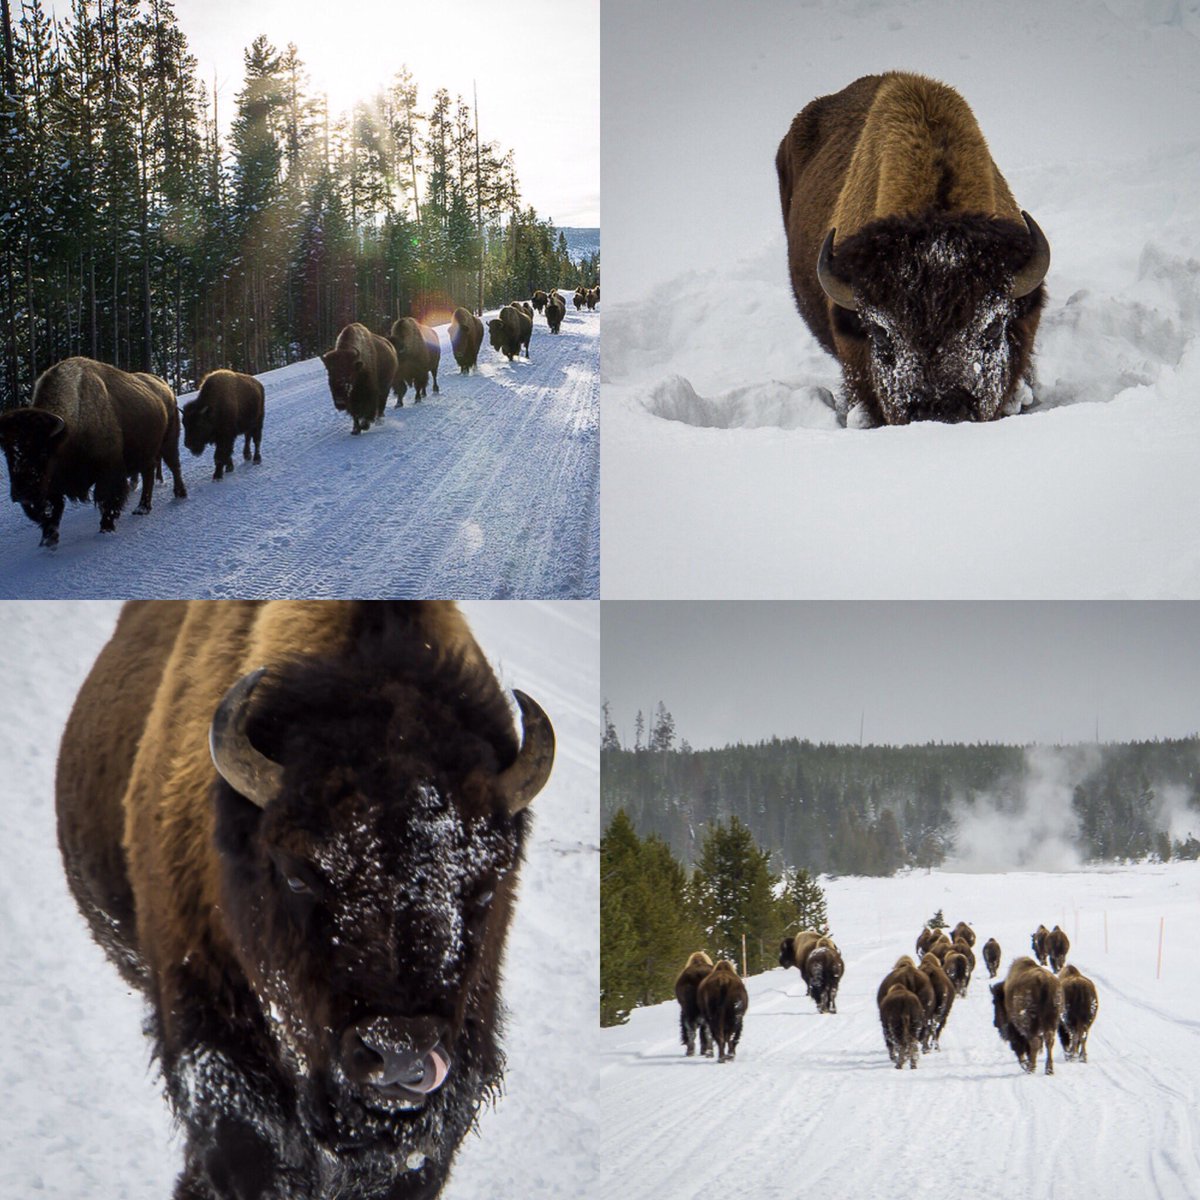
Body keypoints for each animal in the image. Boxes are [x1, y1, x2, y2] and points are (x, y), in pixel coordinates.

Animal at [0, 356, 186, 546]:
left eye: (43, 451)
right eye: (7, 452)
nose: (22, 493)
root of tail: (166, 388)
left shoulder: (109, 471)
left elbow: (106, 499)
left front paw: (106, 528)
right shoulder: (52, 483)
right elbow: (53, 508)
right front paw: (48, 538)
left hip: (169, 443)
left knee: (174, 466)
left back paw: (178, 495)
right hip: (146, 453)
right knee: (148, 473)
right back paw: (142, 508)